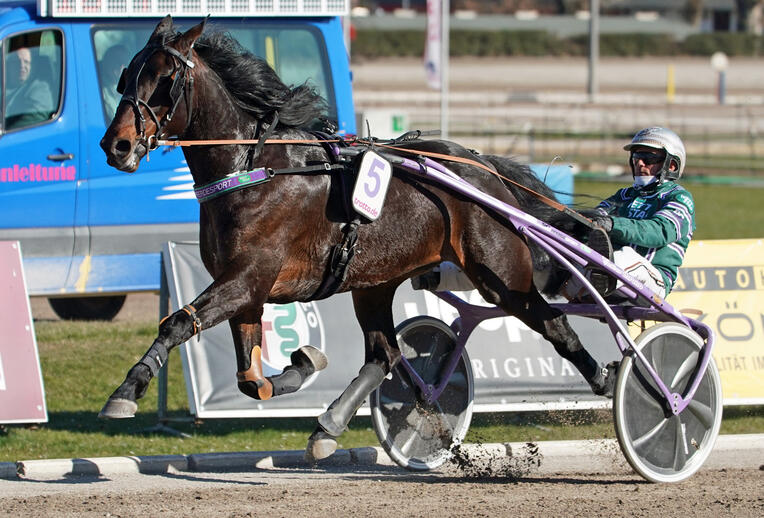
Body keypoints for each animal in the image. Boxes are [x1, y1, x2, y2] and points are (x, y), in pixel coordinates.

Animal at [98, 17, 608, 464]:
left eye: (165, 79)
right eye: (126, 75)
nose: (115, 145)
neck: (254, 169)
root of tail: (485, 170)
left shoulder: (248, 277)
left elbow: (176, 324)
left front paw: (126, 391)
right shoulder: (245, 288)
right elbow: (249, 378)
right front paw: (302, 364)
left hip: (500, 275)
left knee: (555, 324)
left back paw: (611, 382)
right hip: (375, 283)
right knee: (385, 354)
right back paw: (329, 427)